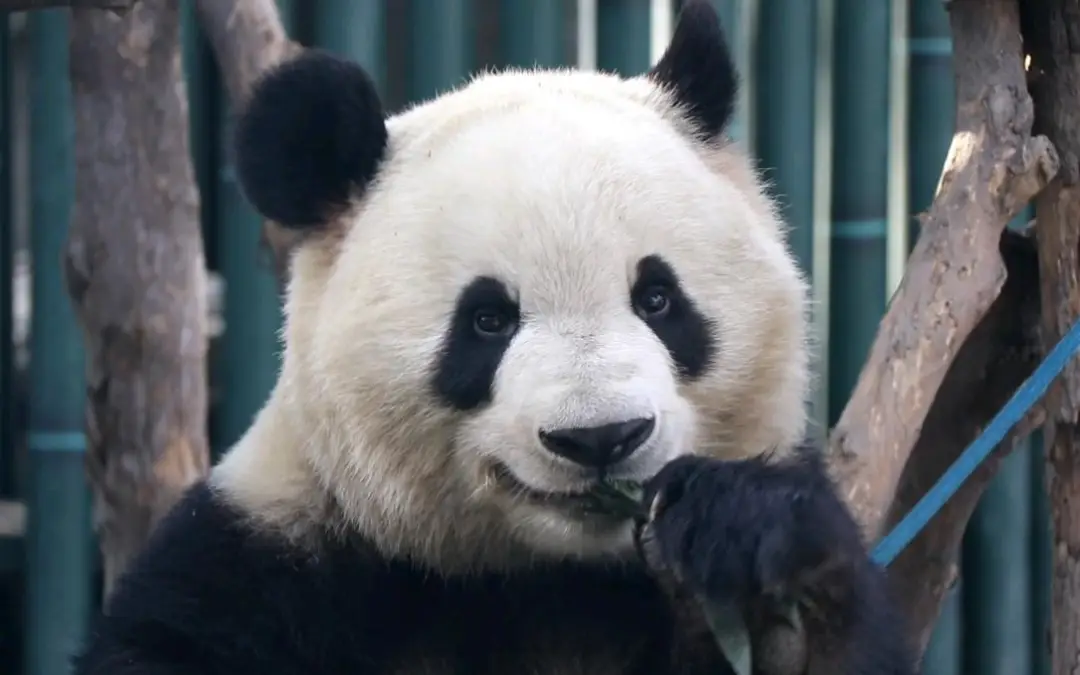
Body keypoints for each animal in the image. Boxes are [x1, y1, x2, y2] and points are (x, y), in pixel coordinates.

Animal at [69, 2, 911, 669]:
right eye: (487, 319)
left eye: (658, 298)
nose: (600, 438)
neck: (545, 572)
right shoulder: (277, 560)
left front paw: (761, 548)